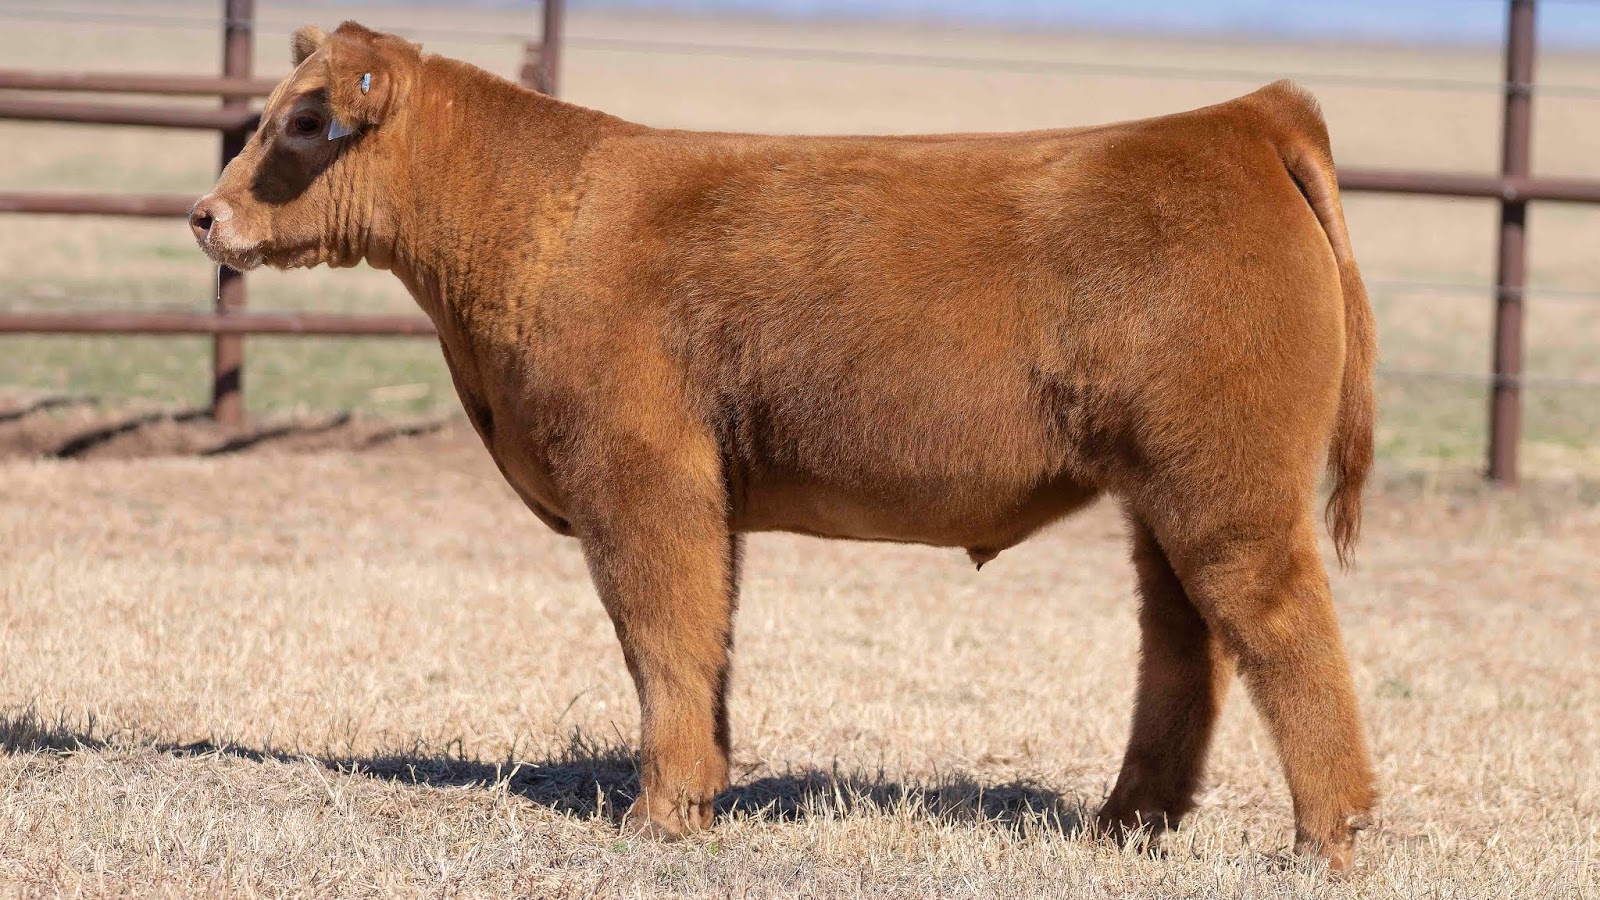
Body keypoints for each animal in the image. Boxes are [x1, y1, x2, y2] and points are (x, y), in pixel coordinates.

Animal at [190, 22, 1379, 872]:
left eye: (305, 121)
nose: (204, 214)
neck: (539, 217)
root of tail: (1239, 119)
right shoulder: (708, 490)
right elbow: (706, 637)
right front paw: (702, 791)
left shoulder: (641, 473)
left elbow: (661, 632)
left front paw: (661, 814)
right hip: (1168, 498)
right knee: (1185, 645)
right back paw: (1128, 823)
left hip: (1230, 494)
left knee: (1284, 630)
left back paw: (1328, 841)